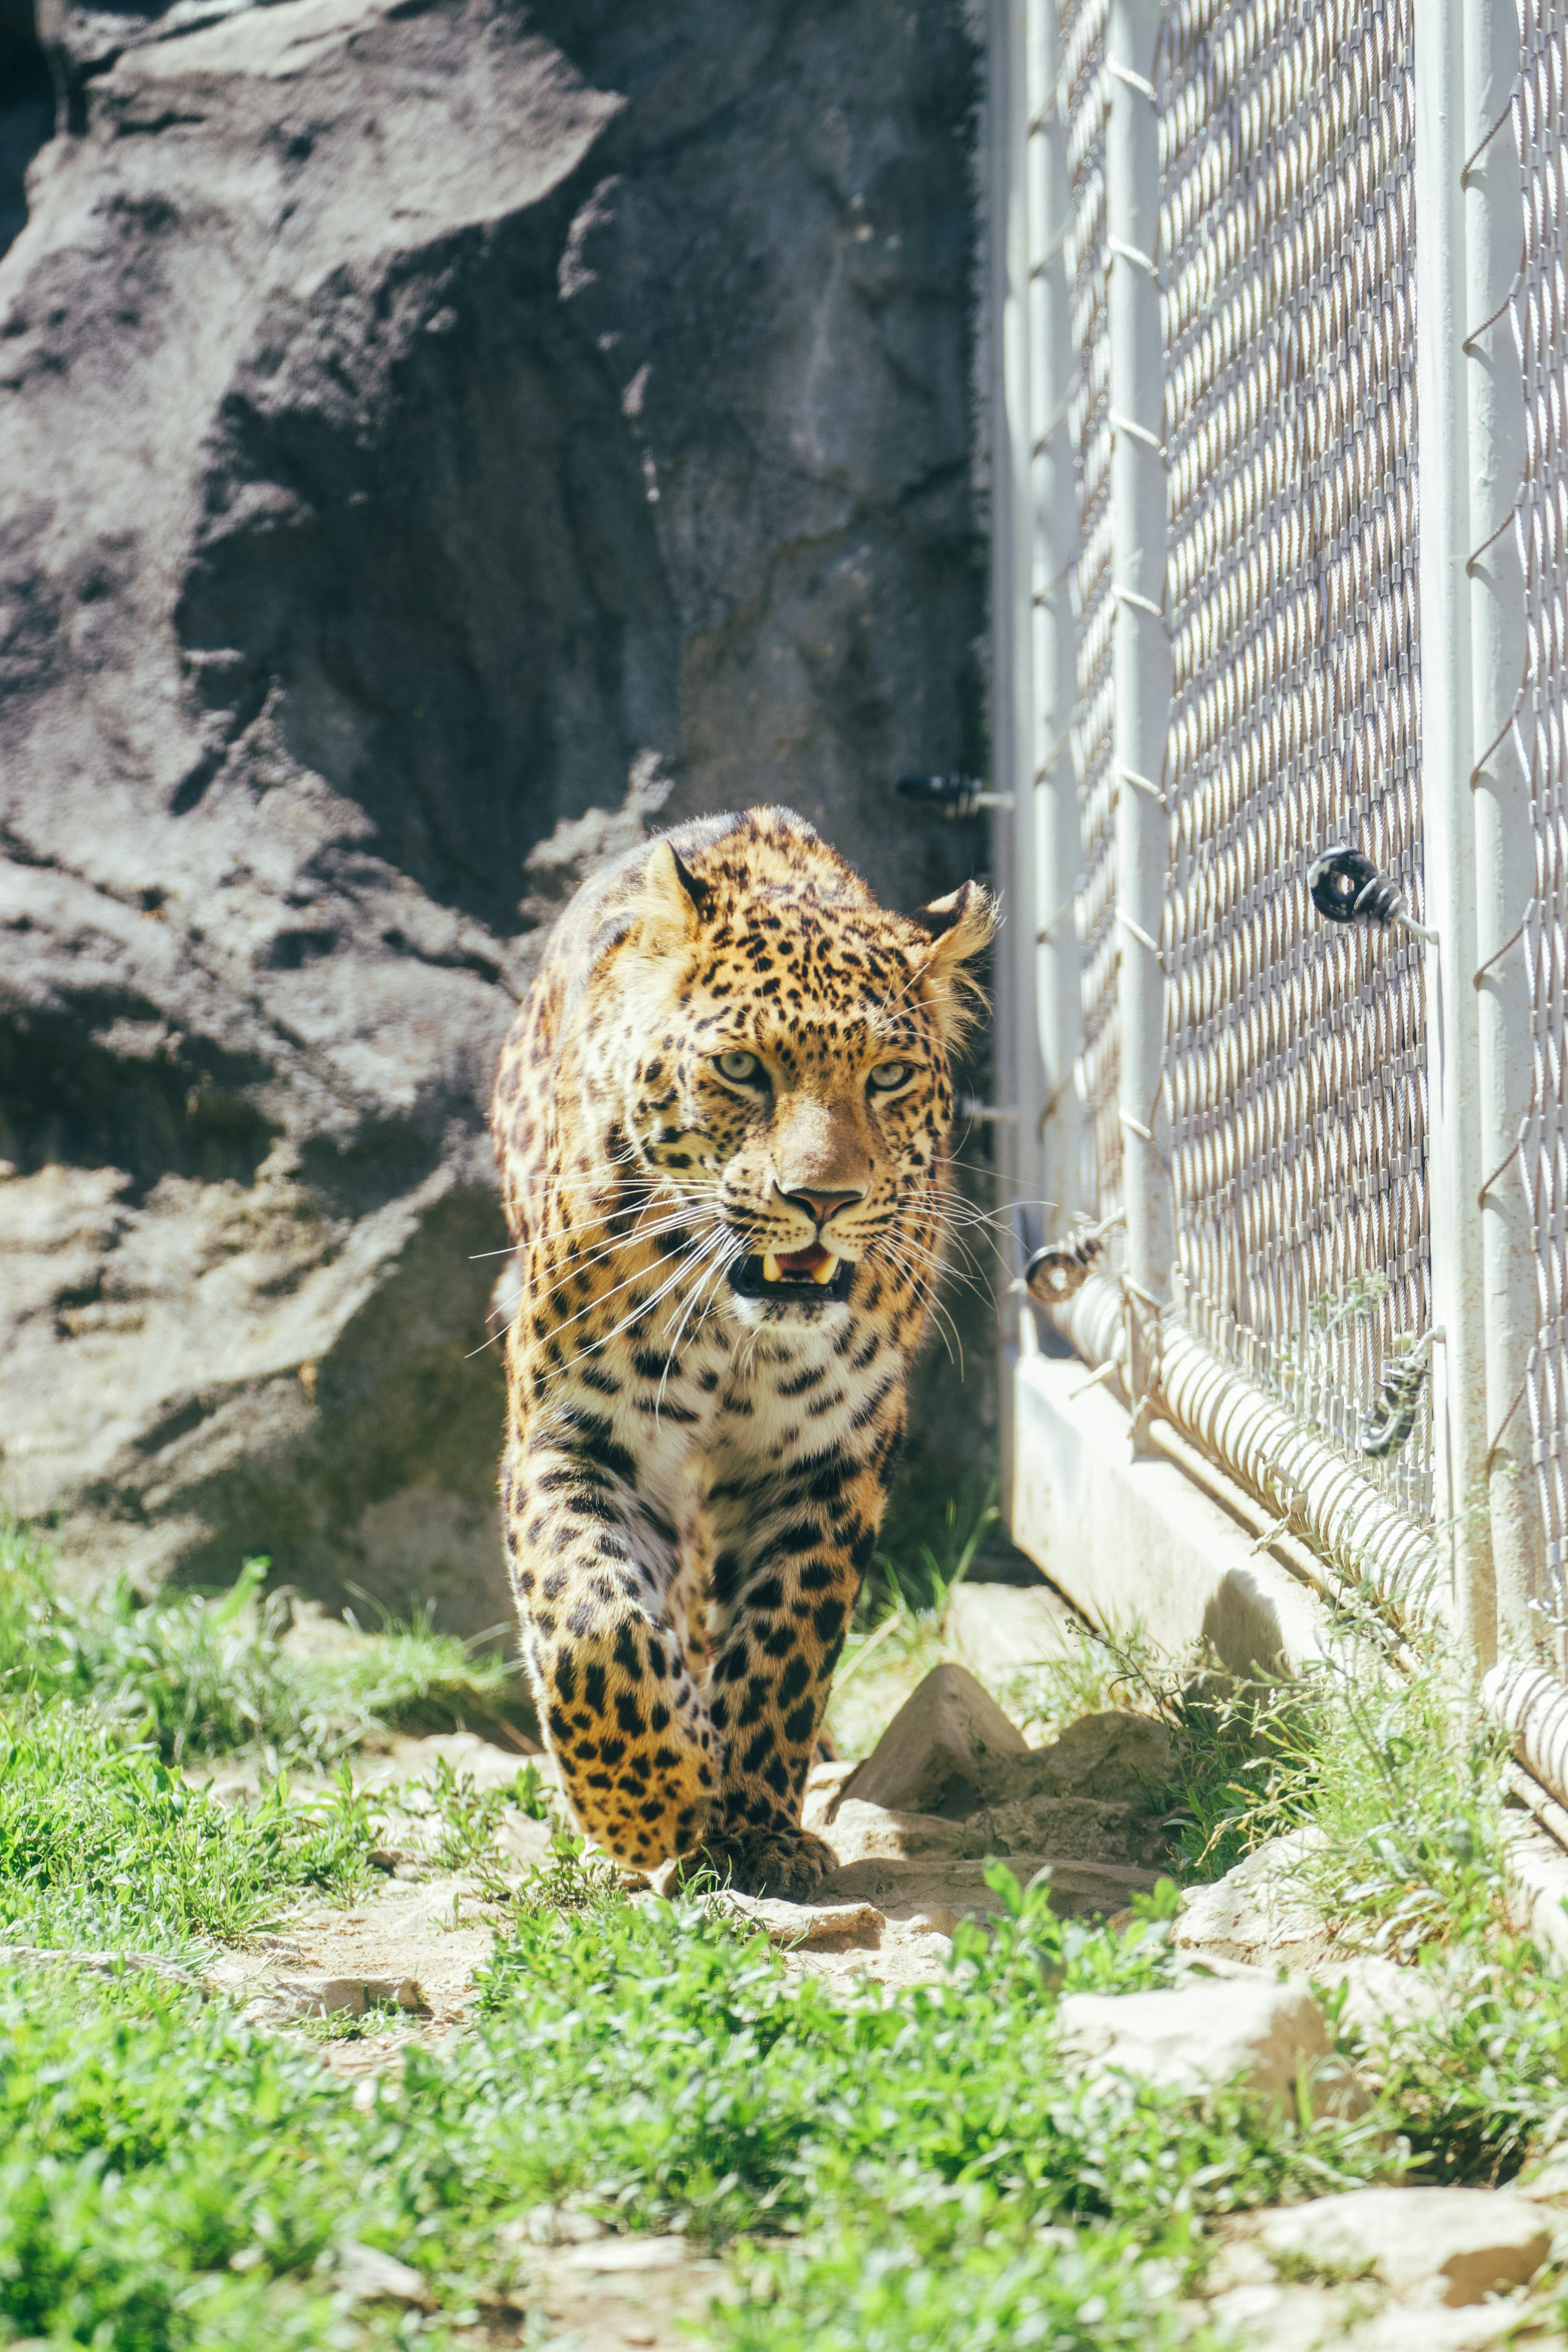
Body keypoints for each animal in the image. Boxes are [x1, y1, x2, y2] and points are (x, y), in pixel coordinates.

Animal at [489, 805, 994, 1898]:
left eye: (888, 1078)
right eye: (741, 1069)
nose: (824, 1198)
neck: (737, 1330)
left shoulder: (828, 1459)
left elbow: (783, 1645)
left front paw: (756, 1829)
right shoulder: (574, 1434)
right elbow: (593, 1622)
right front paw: (648, 1805)